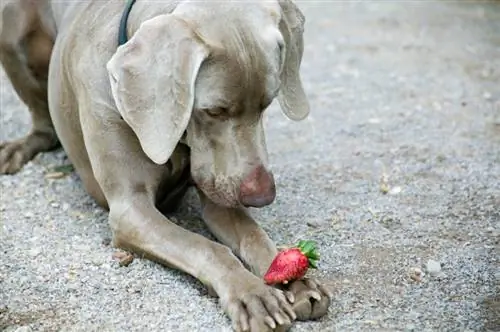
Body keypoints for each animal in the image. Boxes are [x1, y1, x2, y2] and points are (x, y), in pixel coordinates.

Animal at [1, 0, 334, 330]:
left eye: (267, 103)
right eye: (214, 111)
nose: (262, 196)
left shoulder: (220, 195)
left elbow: (253, 235)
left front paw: (295, 279)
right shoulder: (131, 210)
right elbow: (207, 247)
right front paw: (252, 293)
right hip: (11, 24)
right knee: (43, 127)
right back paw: (17, 150)